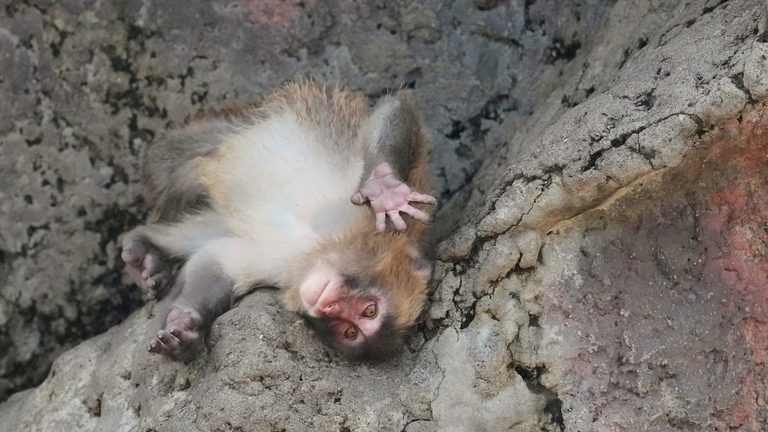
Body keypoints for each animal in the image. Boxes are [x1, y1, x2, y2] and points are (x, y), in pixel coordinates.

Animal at [120, 82, 436, 361]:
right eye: (370, 310)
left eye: (350, 331)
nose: (329, 307)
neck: (320, 245)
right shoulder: (379, 223)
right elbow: (394, 109)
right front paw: (384, 188)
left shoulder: (282, 271)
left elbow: (217, 261)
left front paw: (186, 327)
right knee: (175, 162)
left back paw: (148, 253)